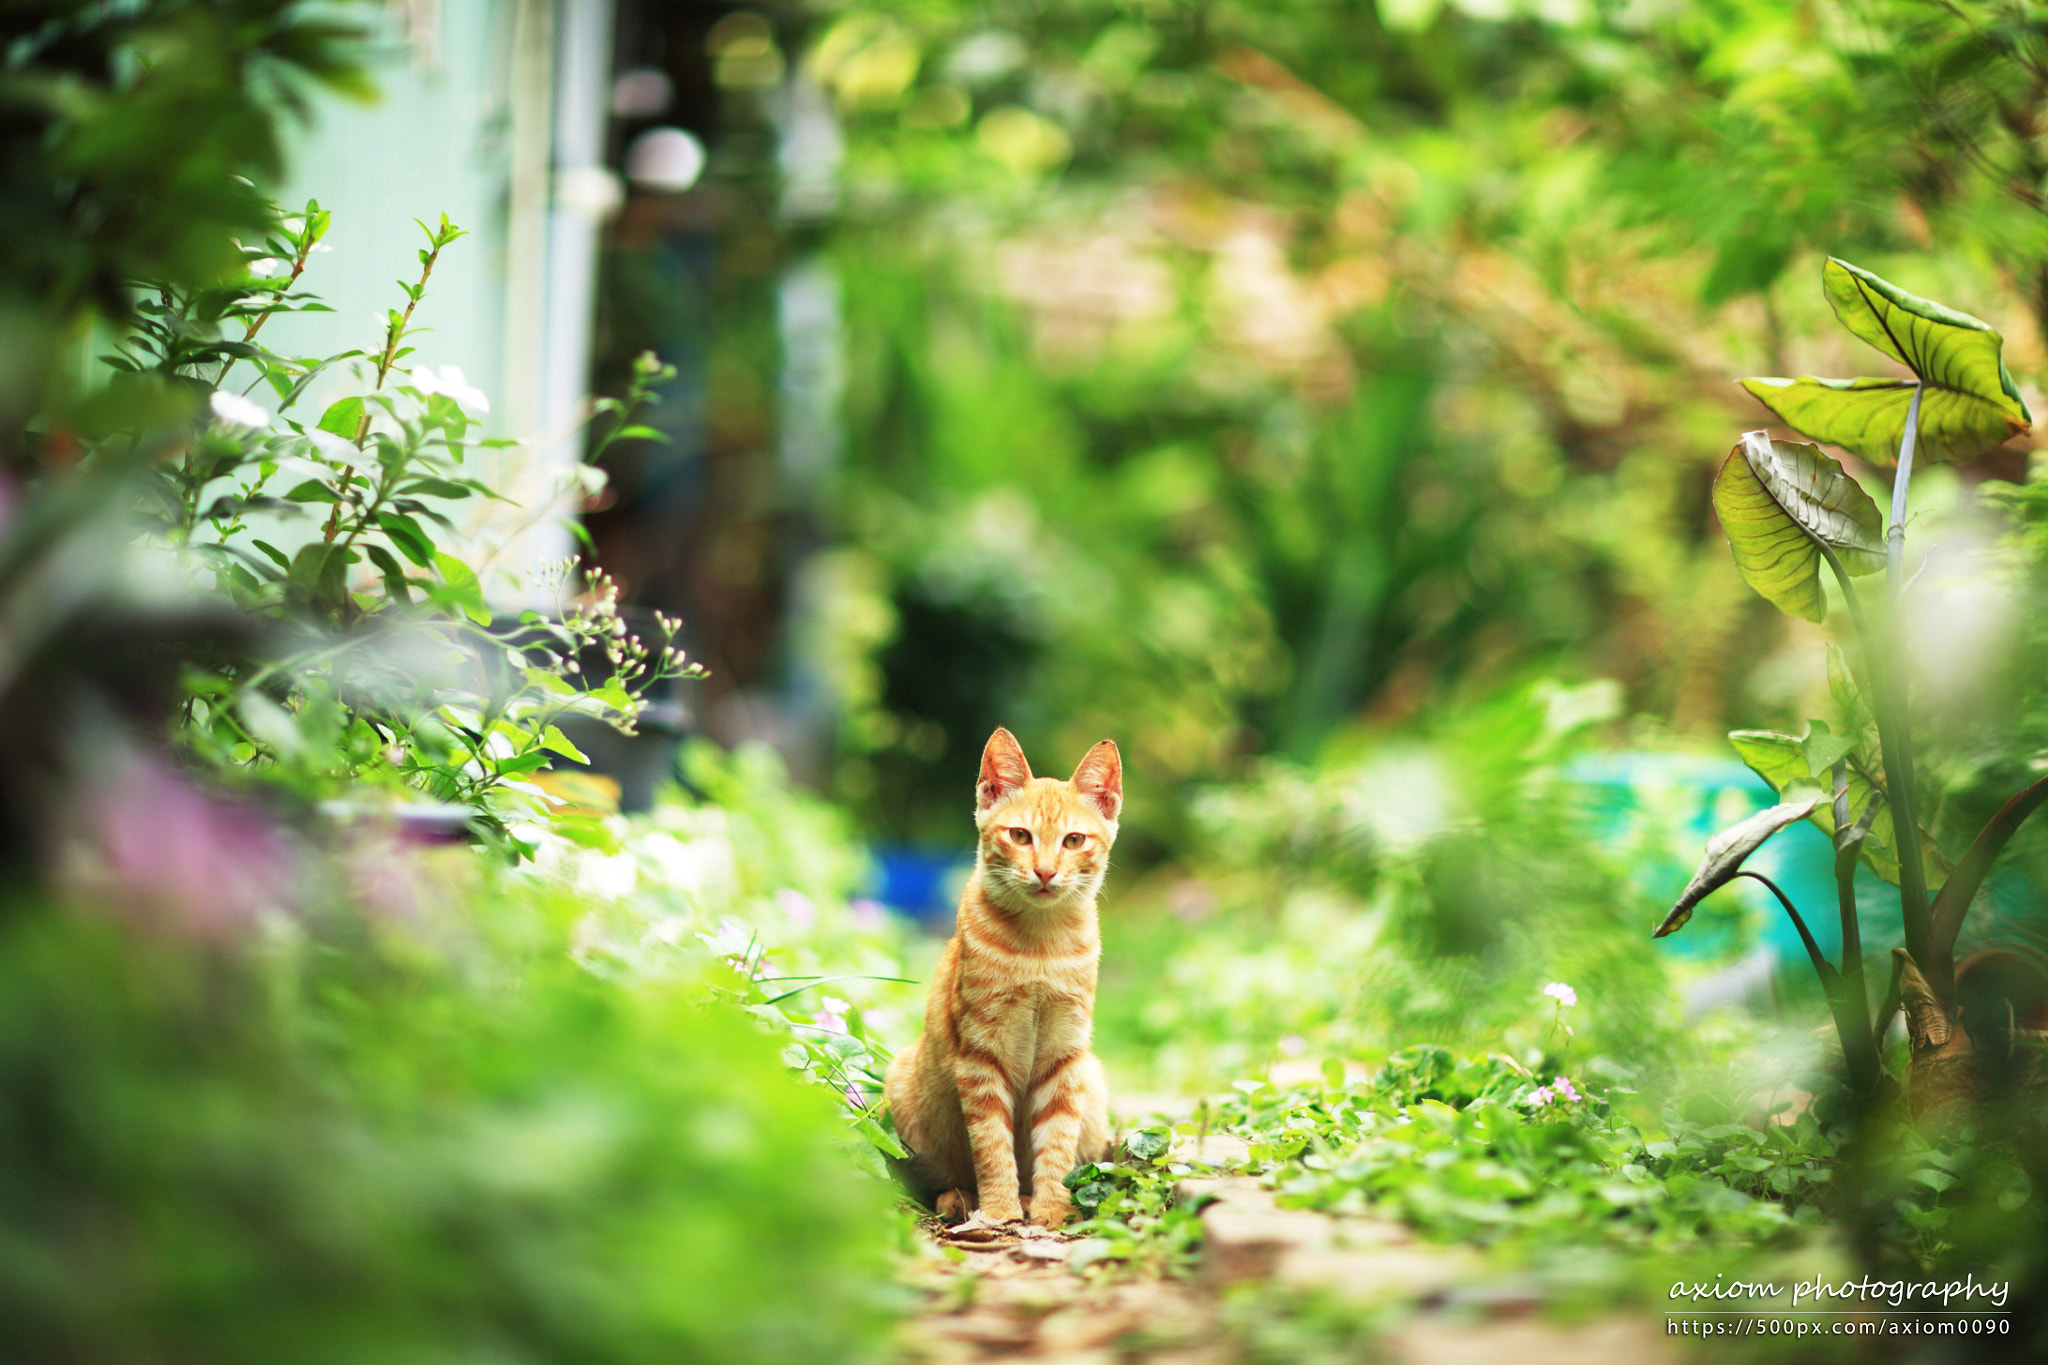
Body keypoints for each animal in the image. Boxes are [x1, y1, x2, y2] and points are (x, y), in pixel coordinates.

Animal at [884, 724, 1122, 1227]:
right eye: (1020, 835)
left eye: (1074, 840)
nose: (1046, 872)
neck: (1041, 946)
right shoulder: (980, 1056)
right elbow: (992, 1143)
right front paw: (998, 1210)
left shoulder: (1065, 1058)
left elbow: (1057, 1141)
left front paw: (1051, 1210)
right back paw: (960, 1200)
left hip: (1092, 1081)